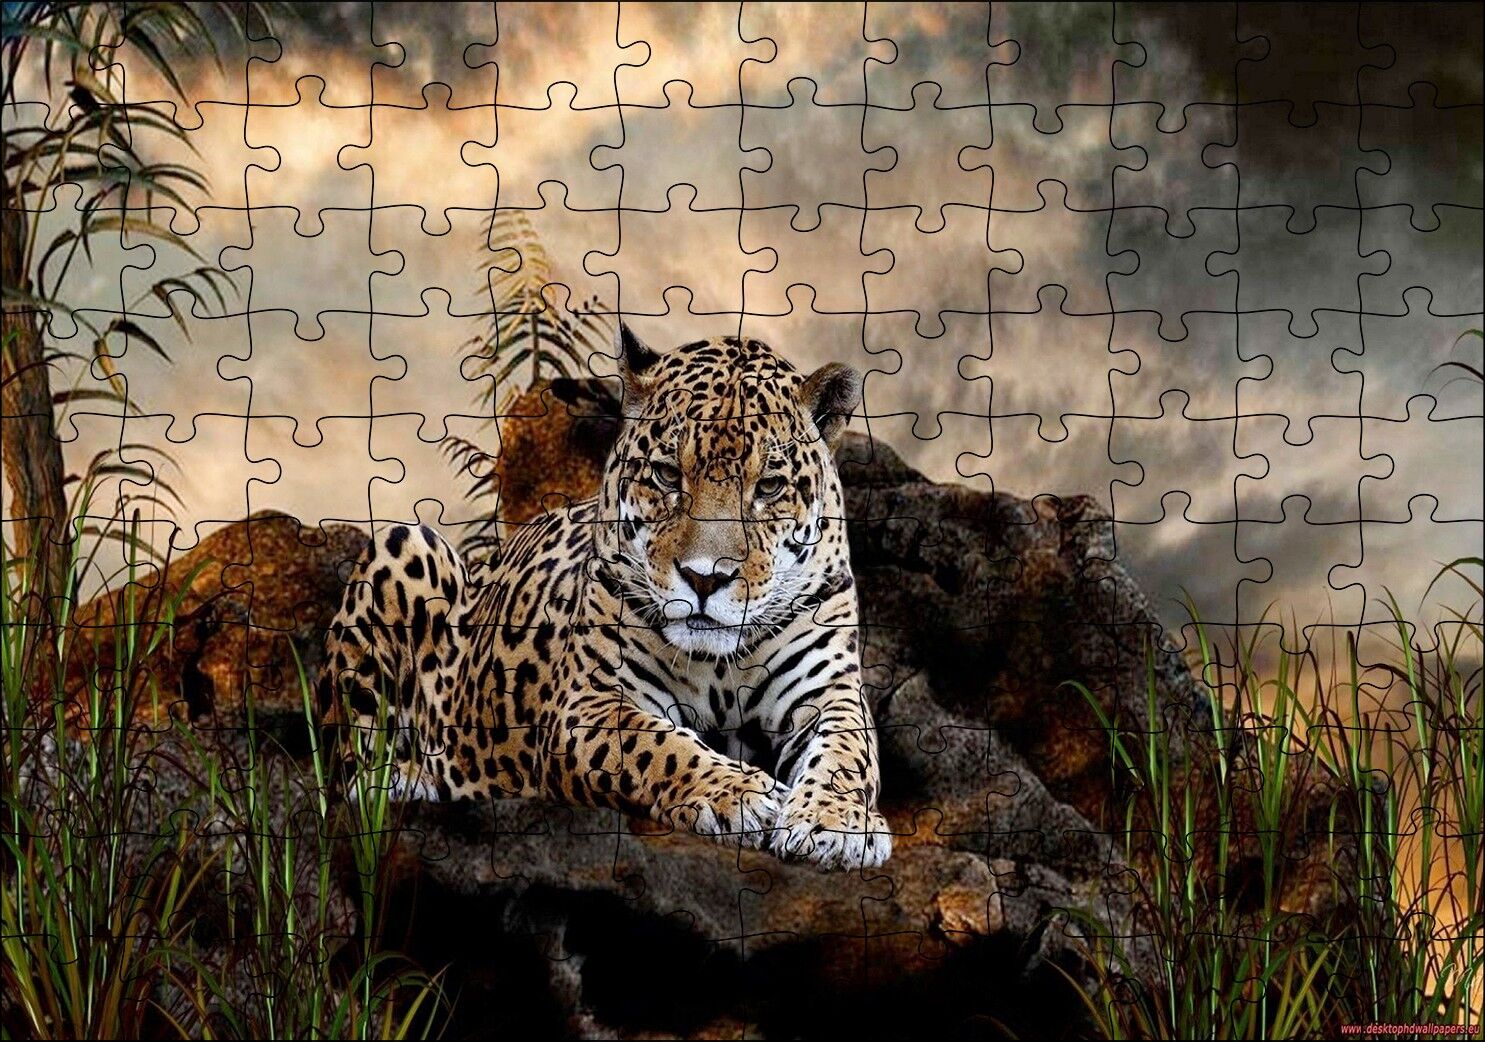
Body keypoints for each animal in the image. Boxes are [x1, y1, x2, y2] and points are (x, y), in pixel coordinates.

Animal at [317, 325, 891, 869]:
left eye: (769, 487)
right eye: (667, 474)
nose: (705, 579)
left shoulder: (829, 691)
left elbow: (847, 753)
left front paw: (837, 823)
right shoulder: (587, 703)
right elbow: (659, 746)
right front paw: (740, 793)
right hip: (405, 544)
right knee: (350, 770)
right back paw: (412, 780)